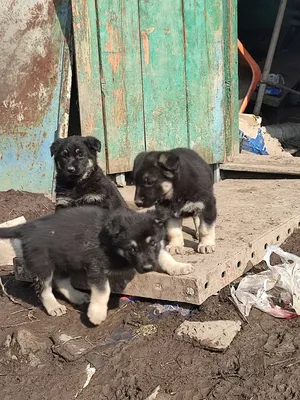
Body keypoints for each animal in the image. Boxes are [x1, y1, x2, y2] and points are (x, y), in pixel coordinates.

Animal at [0, 206, 195, 324]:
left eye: (153, 242)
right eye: (132, 248)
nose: (147, 269)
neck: (112, 243)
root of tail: (26, 227)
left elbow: (164, 255)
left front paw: (178, 267)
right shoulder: (95, 265)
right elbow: (103, 290)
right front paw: (97, 313)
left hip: (64, 259)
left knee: (61, 282)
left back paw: (77, 296)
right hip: (42, 263)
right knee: (44, 288)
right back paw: (54, 307)